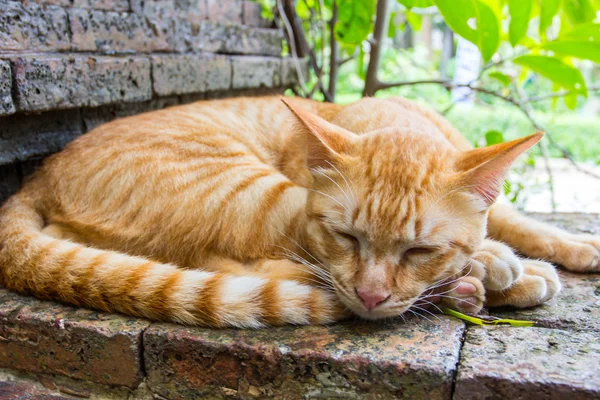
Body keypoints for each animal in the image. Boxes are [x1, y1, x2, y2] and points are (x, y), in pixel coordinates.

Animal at [0, 97, 596, 328]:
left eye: (419, 248)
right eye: (346, 237)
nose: (370, 296)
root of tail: (39, 175)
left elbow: (518, 220)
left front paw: (576, 246)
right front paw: (500, 265)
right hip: (259, 191)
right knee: (230, 264)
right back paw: (475, 285)